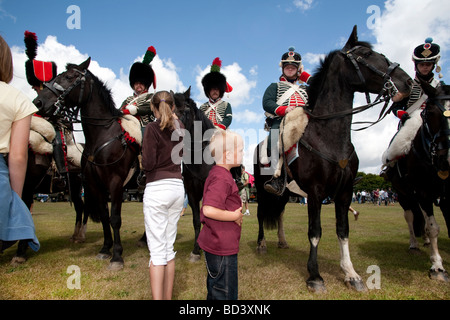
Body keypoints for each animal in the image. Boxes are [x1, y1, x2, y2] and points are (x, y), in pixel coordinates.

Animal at [33, 57, 140, 270]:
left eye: (69, 77)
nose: (38, 101)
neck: (101, 137)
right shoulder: (94, 184)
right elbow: (104, 215)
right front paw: (105, 249)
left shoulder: (115, 183)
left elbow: (115, 218)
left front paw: (117, 256)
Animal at [253, 26, 412, 292]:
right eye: (366, 54)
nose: (408, 82)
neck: (329, 135)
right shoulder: (316, 193)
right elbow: (315, 231)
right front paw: (315, 276)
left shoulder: (345, 192)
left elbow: (343, 230)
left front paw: (351, 274)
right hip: (262, 190)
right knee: (261, 213)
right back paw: (261, 244)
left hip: (285, 194)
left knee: (280, 214)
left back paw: (282, 241)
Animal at [384, 83, 450, 282]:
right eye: (431, 113)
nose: (447, 160)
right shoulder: (423, 192)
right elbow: (433, 227)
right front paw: (437, 266)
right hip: (403, 194)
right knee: (410, 217)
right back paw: (414, 244)